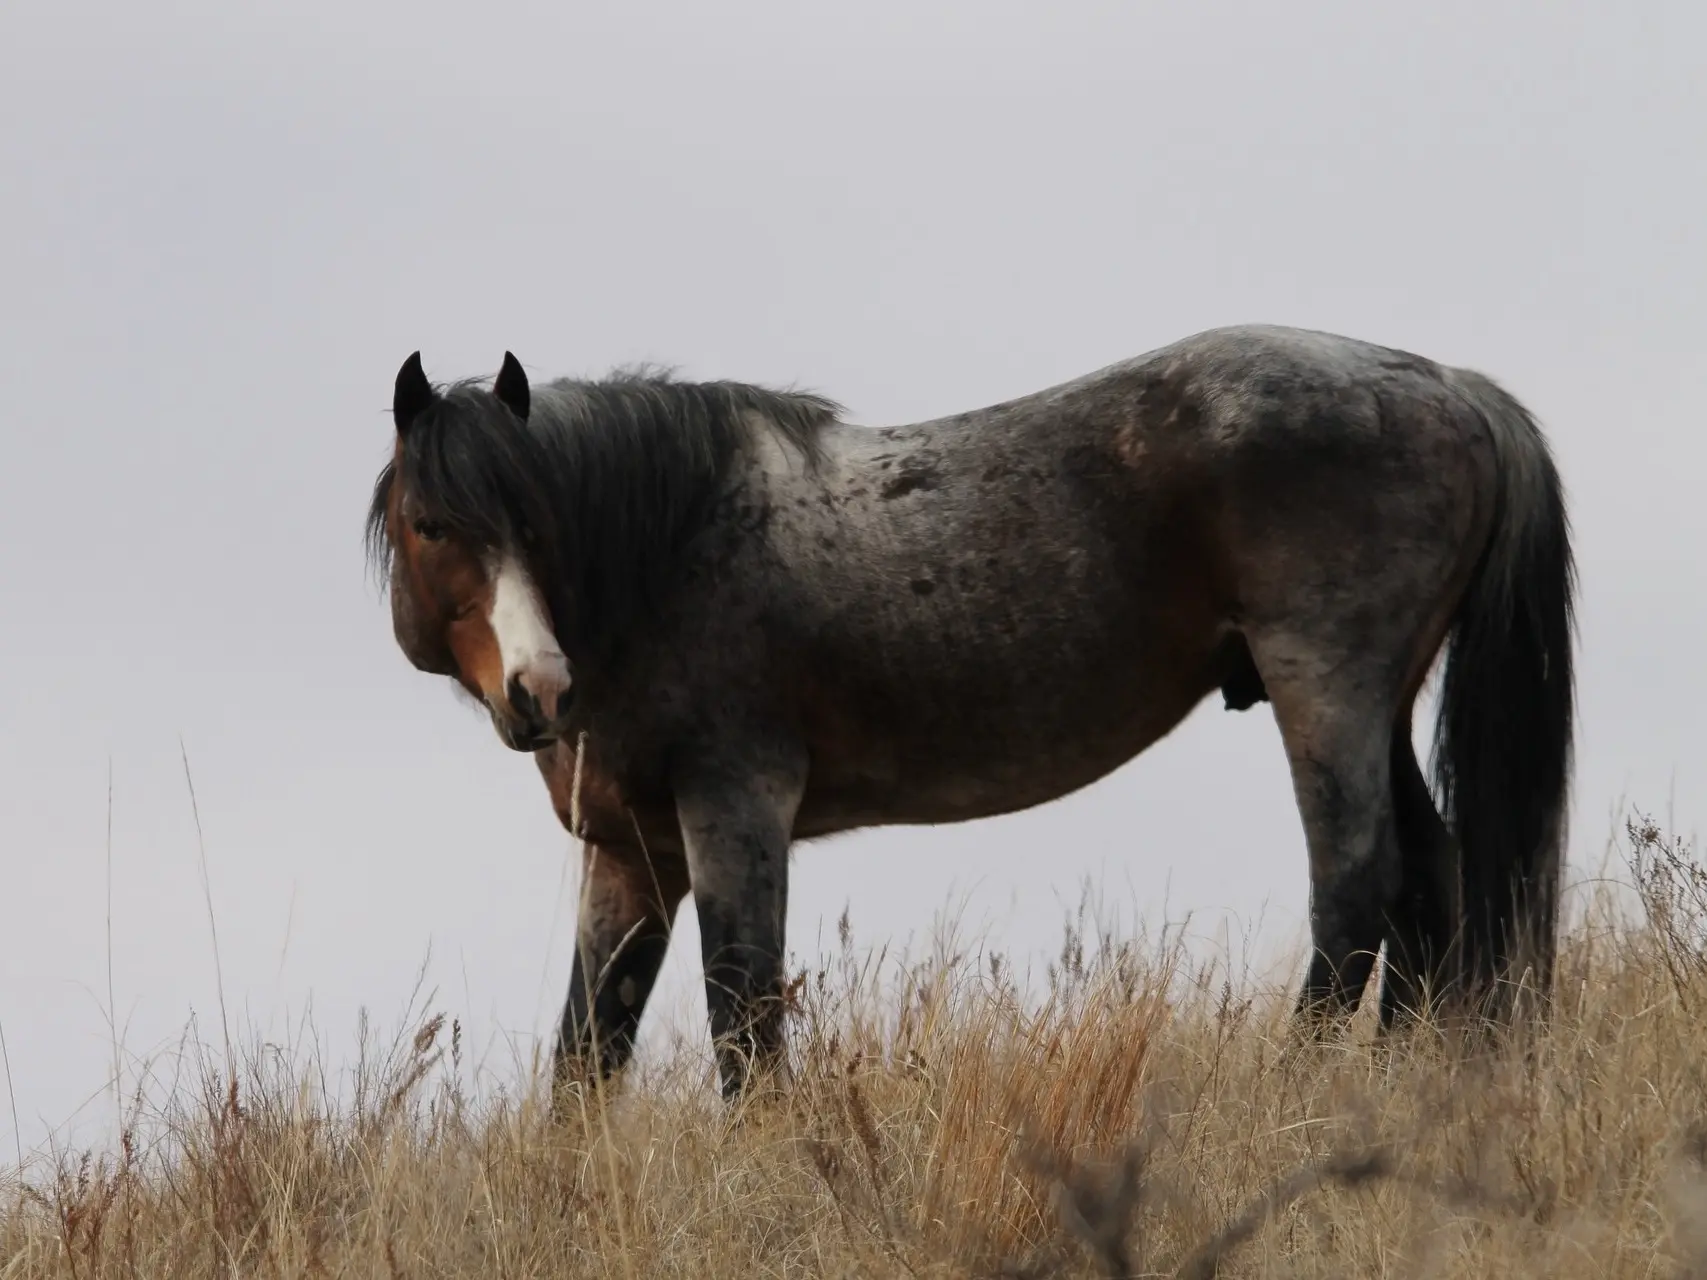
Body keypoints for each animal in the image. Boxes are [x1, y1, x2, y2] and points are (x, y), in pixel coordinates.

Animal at [367, 322, 1577, 1105]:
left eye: (535, 521)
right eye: (433, 524)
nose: (540, 689)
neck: (664, 556)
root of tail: (1453, 386)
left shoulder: (735, 808)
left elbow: (742, 1017)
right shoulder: (632, 852)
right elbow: (586, 1048)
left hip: (1324, 683)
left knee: (1357, 891)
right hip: (1377, 703)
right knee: (1432, 885)